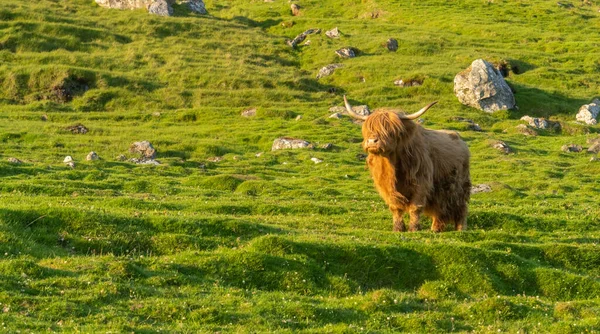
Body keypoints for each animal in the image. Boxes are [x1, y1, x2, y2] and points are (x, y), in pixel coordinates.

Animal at [344, 96, 472, 232]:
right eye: (369, 128)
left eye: (390, 130)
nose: (372, 141)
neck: (393, 166)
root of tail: (460, 139)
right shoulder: (386, 186)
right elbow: (395, 207)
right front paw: (398, 228)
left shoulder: (421, 183)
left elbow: (415, 207)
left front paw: (413, 228)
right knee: (439, 209)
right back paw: (435, 229)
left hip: (461, 185)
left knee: (461, 207)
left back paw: (461, 228)